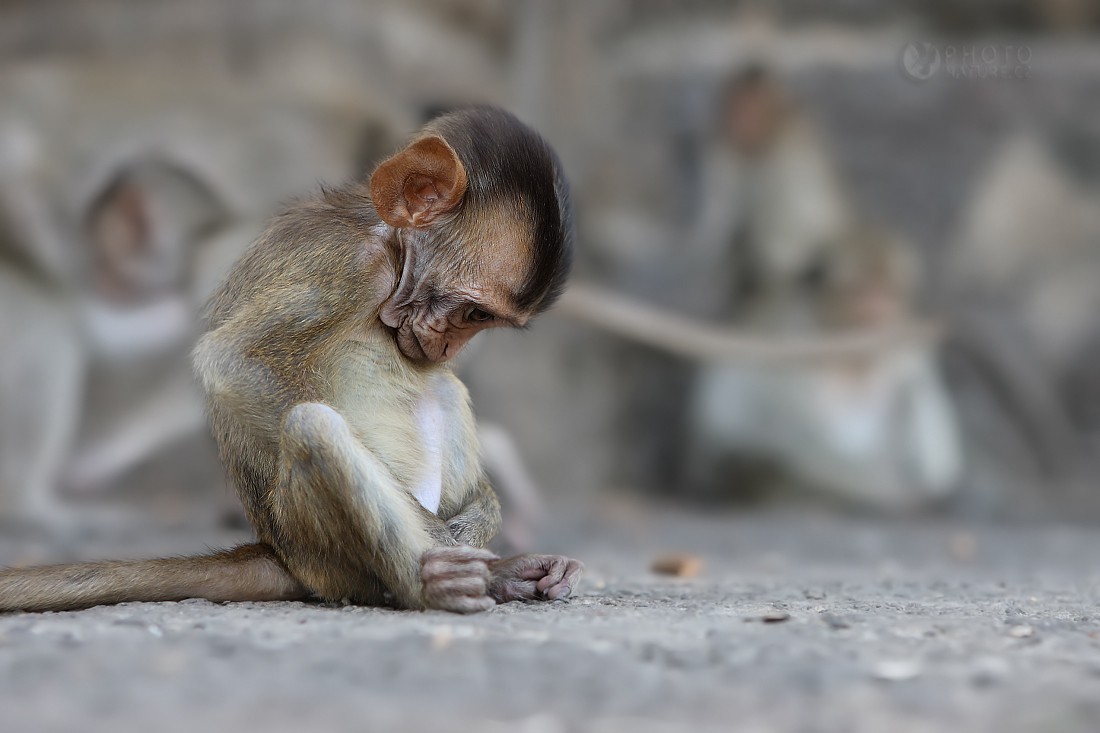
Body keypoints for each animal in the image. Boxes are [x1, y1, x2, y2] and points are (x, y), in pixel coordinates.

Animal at [0, 107, 583, 614]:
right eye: (472, 312)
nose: (449, 347)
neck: (390, 247)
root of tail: (279, 553)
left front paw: (483, 518)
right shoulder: (348, 265)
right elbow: (229, 362)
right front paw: (442, 536)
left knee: (441, 385)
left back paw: (497, 570)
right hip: (319, 551)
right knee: (313, 426)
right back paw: (427, 584)